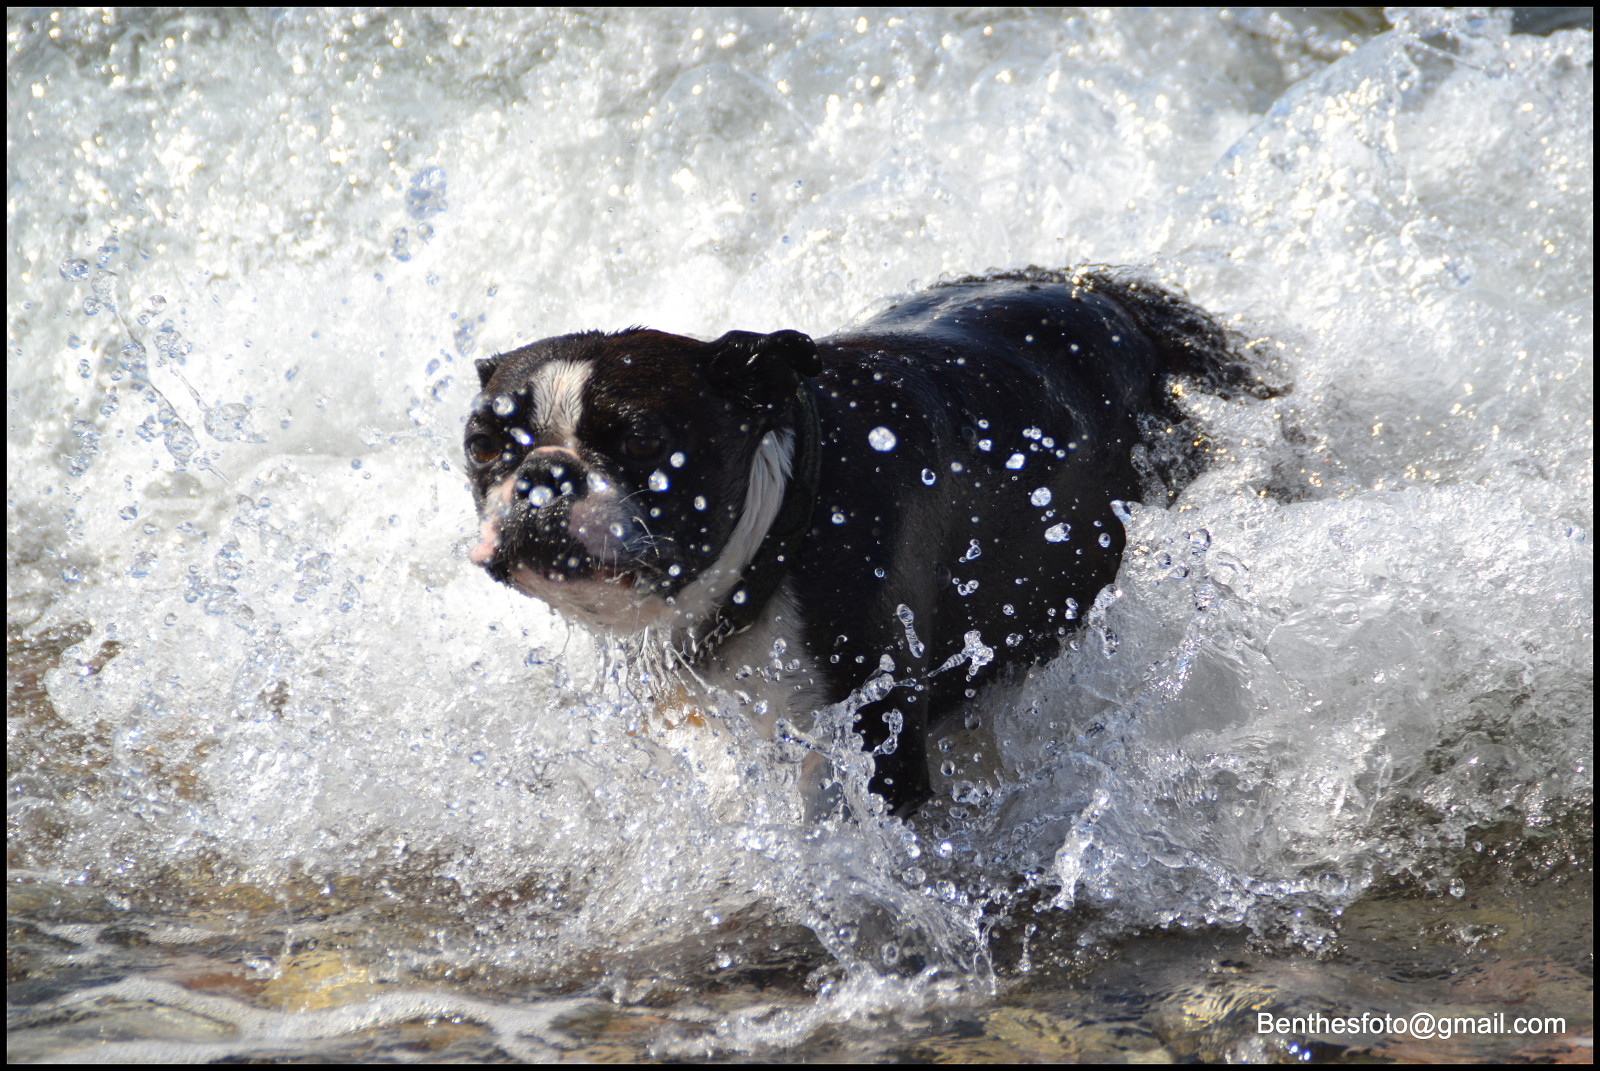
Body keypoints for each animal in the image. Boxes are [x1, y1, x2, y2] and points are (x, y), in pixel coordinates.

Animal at [464, 268, 1268, 815]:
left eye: (640, 440)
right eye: (481, 445)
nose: (543, 474)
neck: (774, 539)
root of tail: (1112, 297)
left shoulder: (875, 735)